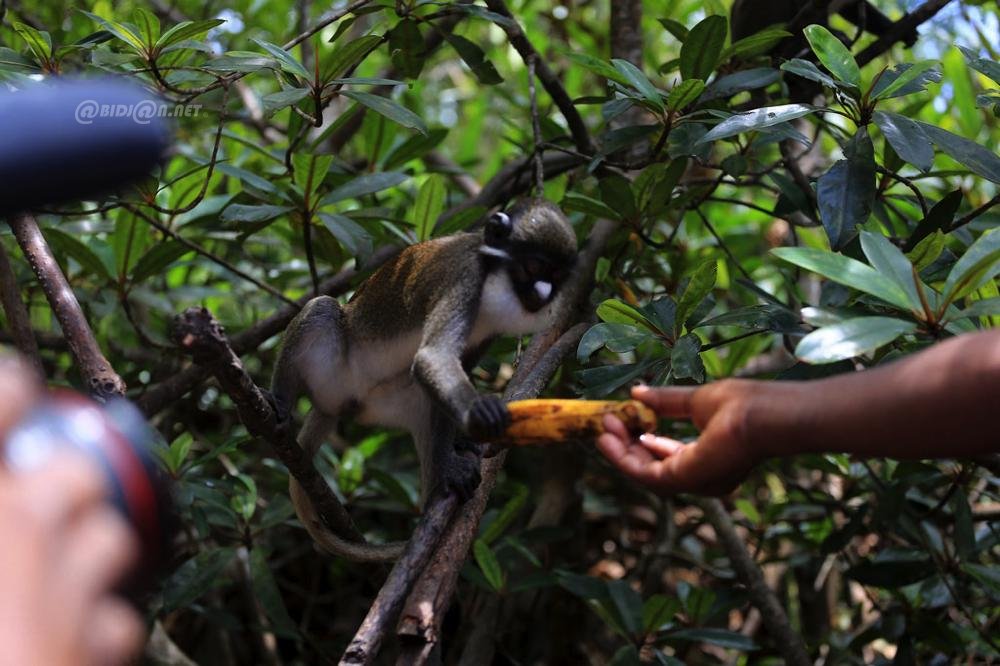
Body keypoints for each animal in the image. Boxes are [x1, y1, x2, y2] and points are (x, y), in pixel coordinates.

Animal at [272, 198, 580, 560]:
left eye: (556, 276)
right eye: (533, 266)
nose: (543, 294)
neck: (492, 276)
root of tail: (336, 407)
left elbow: (448, 366)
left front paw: (462, 444)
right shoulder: (464, 279)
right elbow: (433, 357)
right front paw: (482, 414)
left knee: (426, 399)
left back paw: (442, 474)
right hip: (330, 376)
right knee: (323, 308)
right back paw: (279, 400)